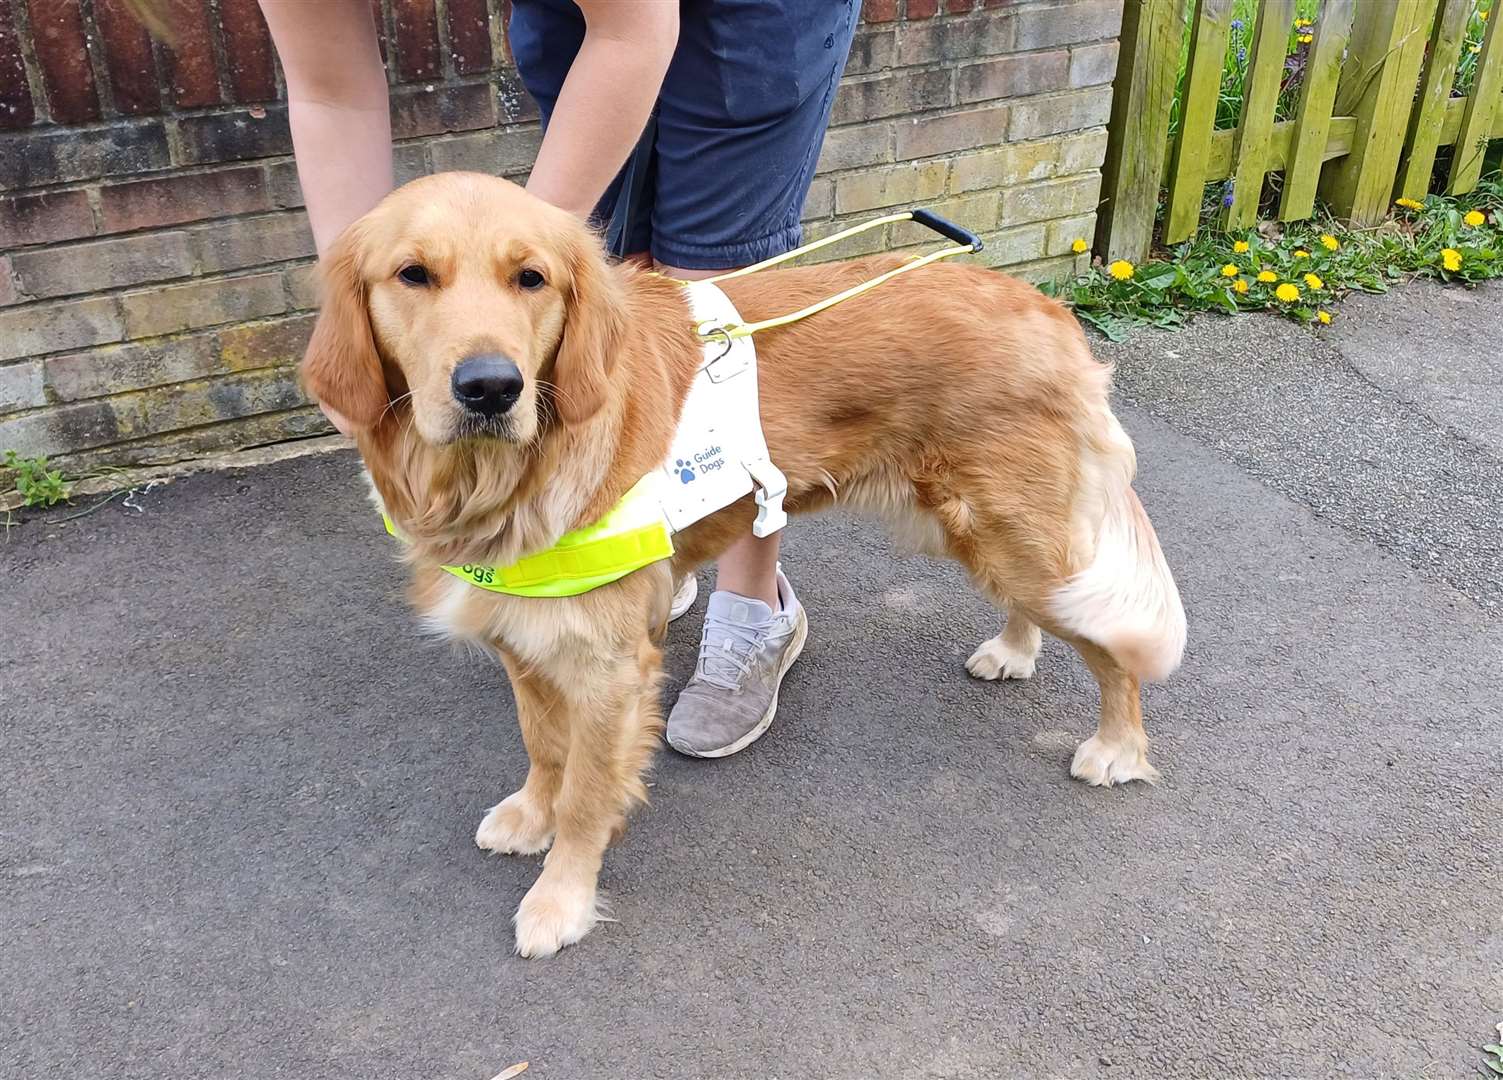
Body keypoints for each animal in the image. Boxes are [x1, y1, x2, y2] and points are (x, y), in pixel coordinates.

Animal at [302, 173, 1184, 961]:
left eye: (531, 278)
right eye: (412, 274)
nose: (490, 387)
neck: (503, 477)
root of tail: (1043, 305)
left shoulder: (609, 667)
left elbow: (588, 793)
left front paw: (561, 899)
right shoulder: (530, 634)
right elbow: (543, 745)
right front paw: (531, 813)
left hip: (1012, 541)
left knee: (1113, 650)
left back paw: (1116, 746)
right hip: (974, 532)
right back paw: (1013, 650)